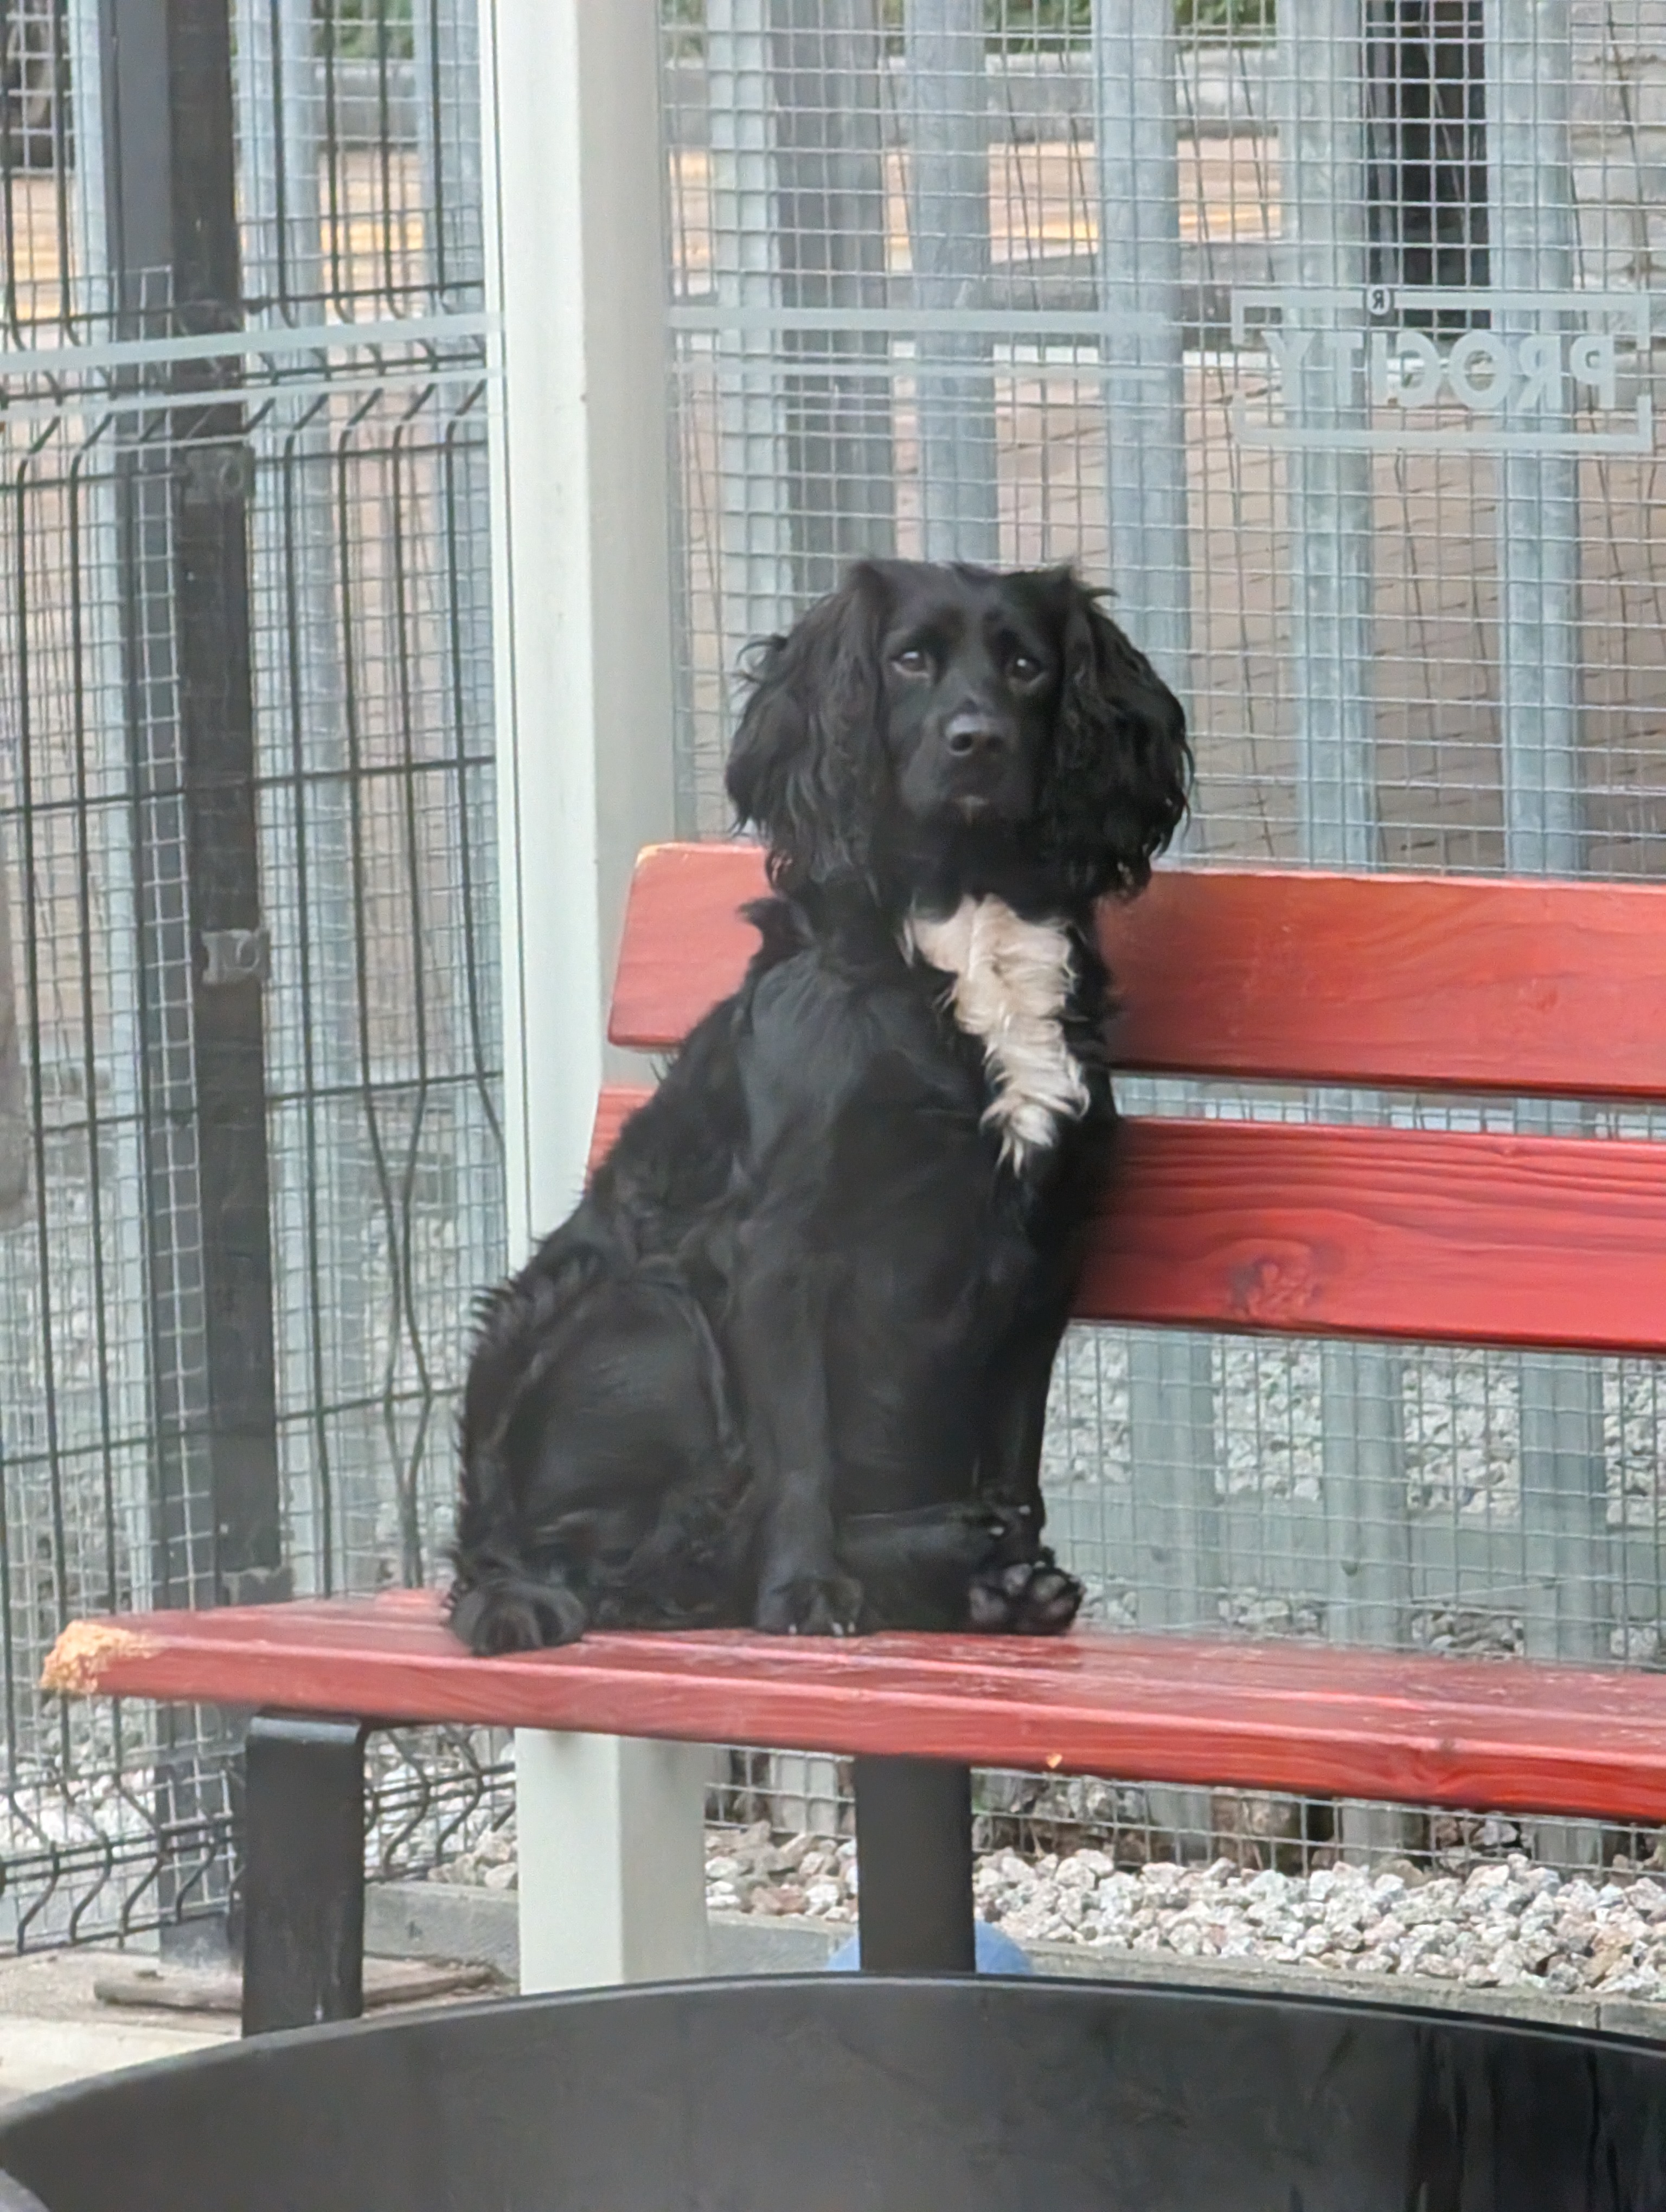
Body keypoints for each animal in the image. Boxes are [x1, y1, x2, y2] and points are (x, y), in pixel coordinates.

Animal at [449, 562, 1186, 1654]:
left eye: (1025, 666)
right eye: (910, 658)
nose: (977, 741)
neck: (963, 924)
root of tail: (479, 1548)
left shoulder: (1048, 1250)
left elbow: (1016, 1457)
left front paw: (1012, 1567)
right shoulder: (782, 1244)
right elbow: (801, 1449)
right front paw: (805, 1590)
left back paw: (979, 1573)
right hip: (655, 1320)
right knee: (639, 1555)